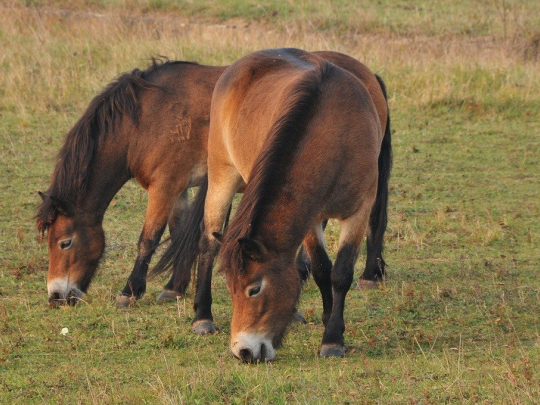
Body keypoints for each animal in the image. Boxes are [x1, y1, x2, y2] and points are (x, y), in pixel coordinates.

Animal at [35, 59, 225, 306]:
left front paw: (129, 291)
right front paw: (174, 288)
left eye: (65, 243)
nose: (55, 297)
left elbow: (148, 239)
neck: (146, 122)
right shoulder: (178, 188)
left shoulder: (164, 187)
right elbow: (177, 233)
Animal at [152, 48, 392, 360]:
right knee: (208, 244)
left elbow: (339, 273)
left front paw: (332, 337)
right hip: (222, 176)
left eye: (254, 289)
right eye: (230, 287)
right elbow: (321, 269)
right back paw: (202, 317)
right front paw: (329, 327)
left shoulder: (359, 210)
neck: (335, 137)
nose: (243, 351)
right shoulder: (309, 216)